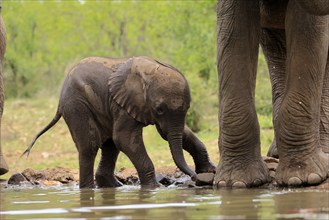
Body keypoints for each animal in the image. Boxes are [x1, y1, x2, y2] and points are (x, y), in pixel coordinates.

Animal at [21, 56, 214, 187]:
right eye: (159, 109)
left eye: (188, 108)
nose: (194, 177)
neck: (148, 70)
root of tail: (60, 101)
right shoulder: (123, 103)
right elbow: (125, 139)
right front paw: (153, 187)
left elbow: (172, 133)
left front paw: (209, 170)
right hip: (76, 105)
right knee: (90, 147)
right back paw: (89, 190)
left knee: (110, 145)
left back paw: (113, 186)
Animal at [214, 0, 328, 187]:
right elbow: (234, 32)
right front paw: (234, 183)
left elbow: (307, 29)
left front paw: (302, 178)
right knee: (278, 49)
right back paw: (277, 154)